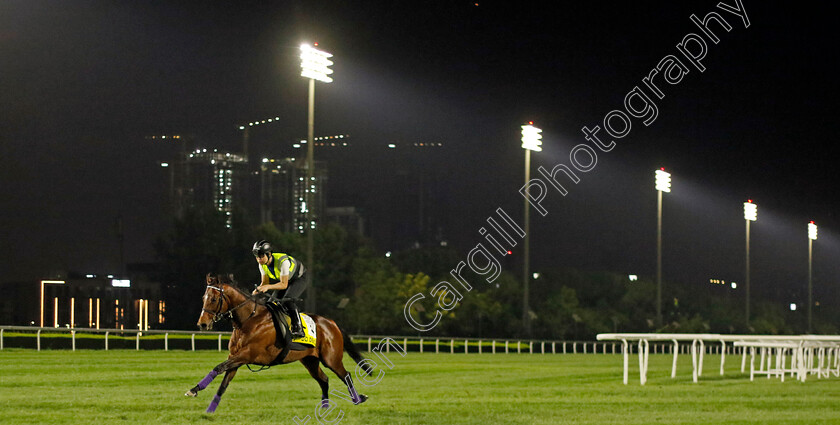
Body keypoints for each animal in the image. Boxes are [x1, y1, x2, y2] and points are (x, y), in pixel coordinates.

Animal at [187, 274, 370, 412]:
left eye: (213, 299)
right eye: (203, 297)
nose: (202, 324)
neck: (248, 320)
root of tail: (332, 323)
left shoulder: (247, 354)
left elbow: (218, 367)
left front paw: (194, 390)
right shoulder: (236, 358)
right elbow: (223, 383)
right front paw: (208, 406)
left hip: (331, 358)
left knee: (346, 375)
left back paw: (357, 399)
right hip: (310, 360)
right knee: (323, 379)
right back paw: (325, 407)